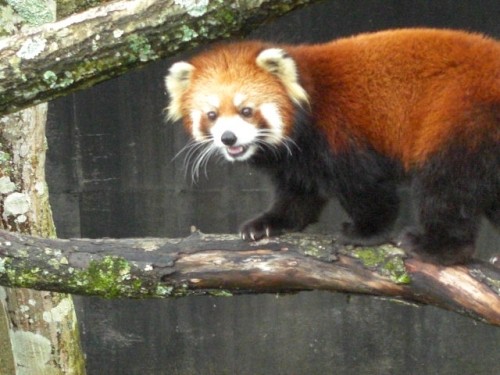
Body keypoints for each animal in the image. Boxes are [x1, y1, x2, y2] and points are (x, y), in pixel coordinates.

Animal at [165, 28, 500, 264]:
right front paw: (270, 223)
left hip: (462, 116)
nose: (228, 138)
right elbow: (299, 194)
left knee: (447, 186)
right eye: (212, 115)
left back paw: (437, 247)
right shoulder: (296, 160)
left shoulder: (337, 133)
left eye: (246, 110)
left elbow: (366, 187)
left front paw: (367, 232)